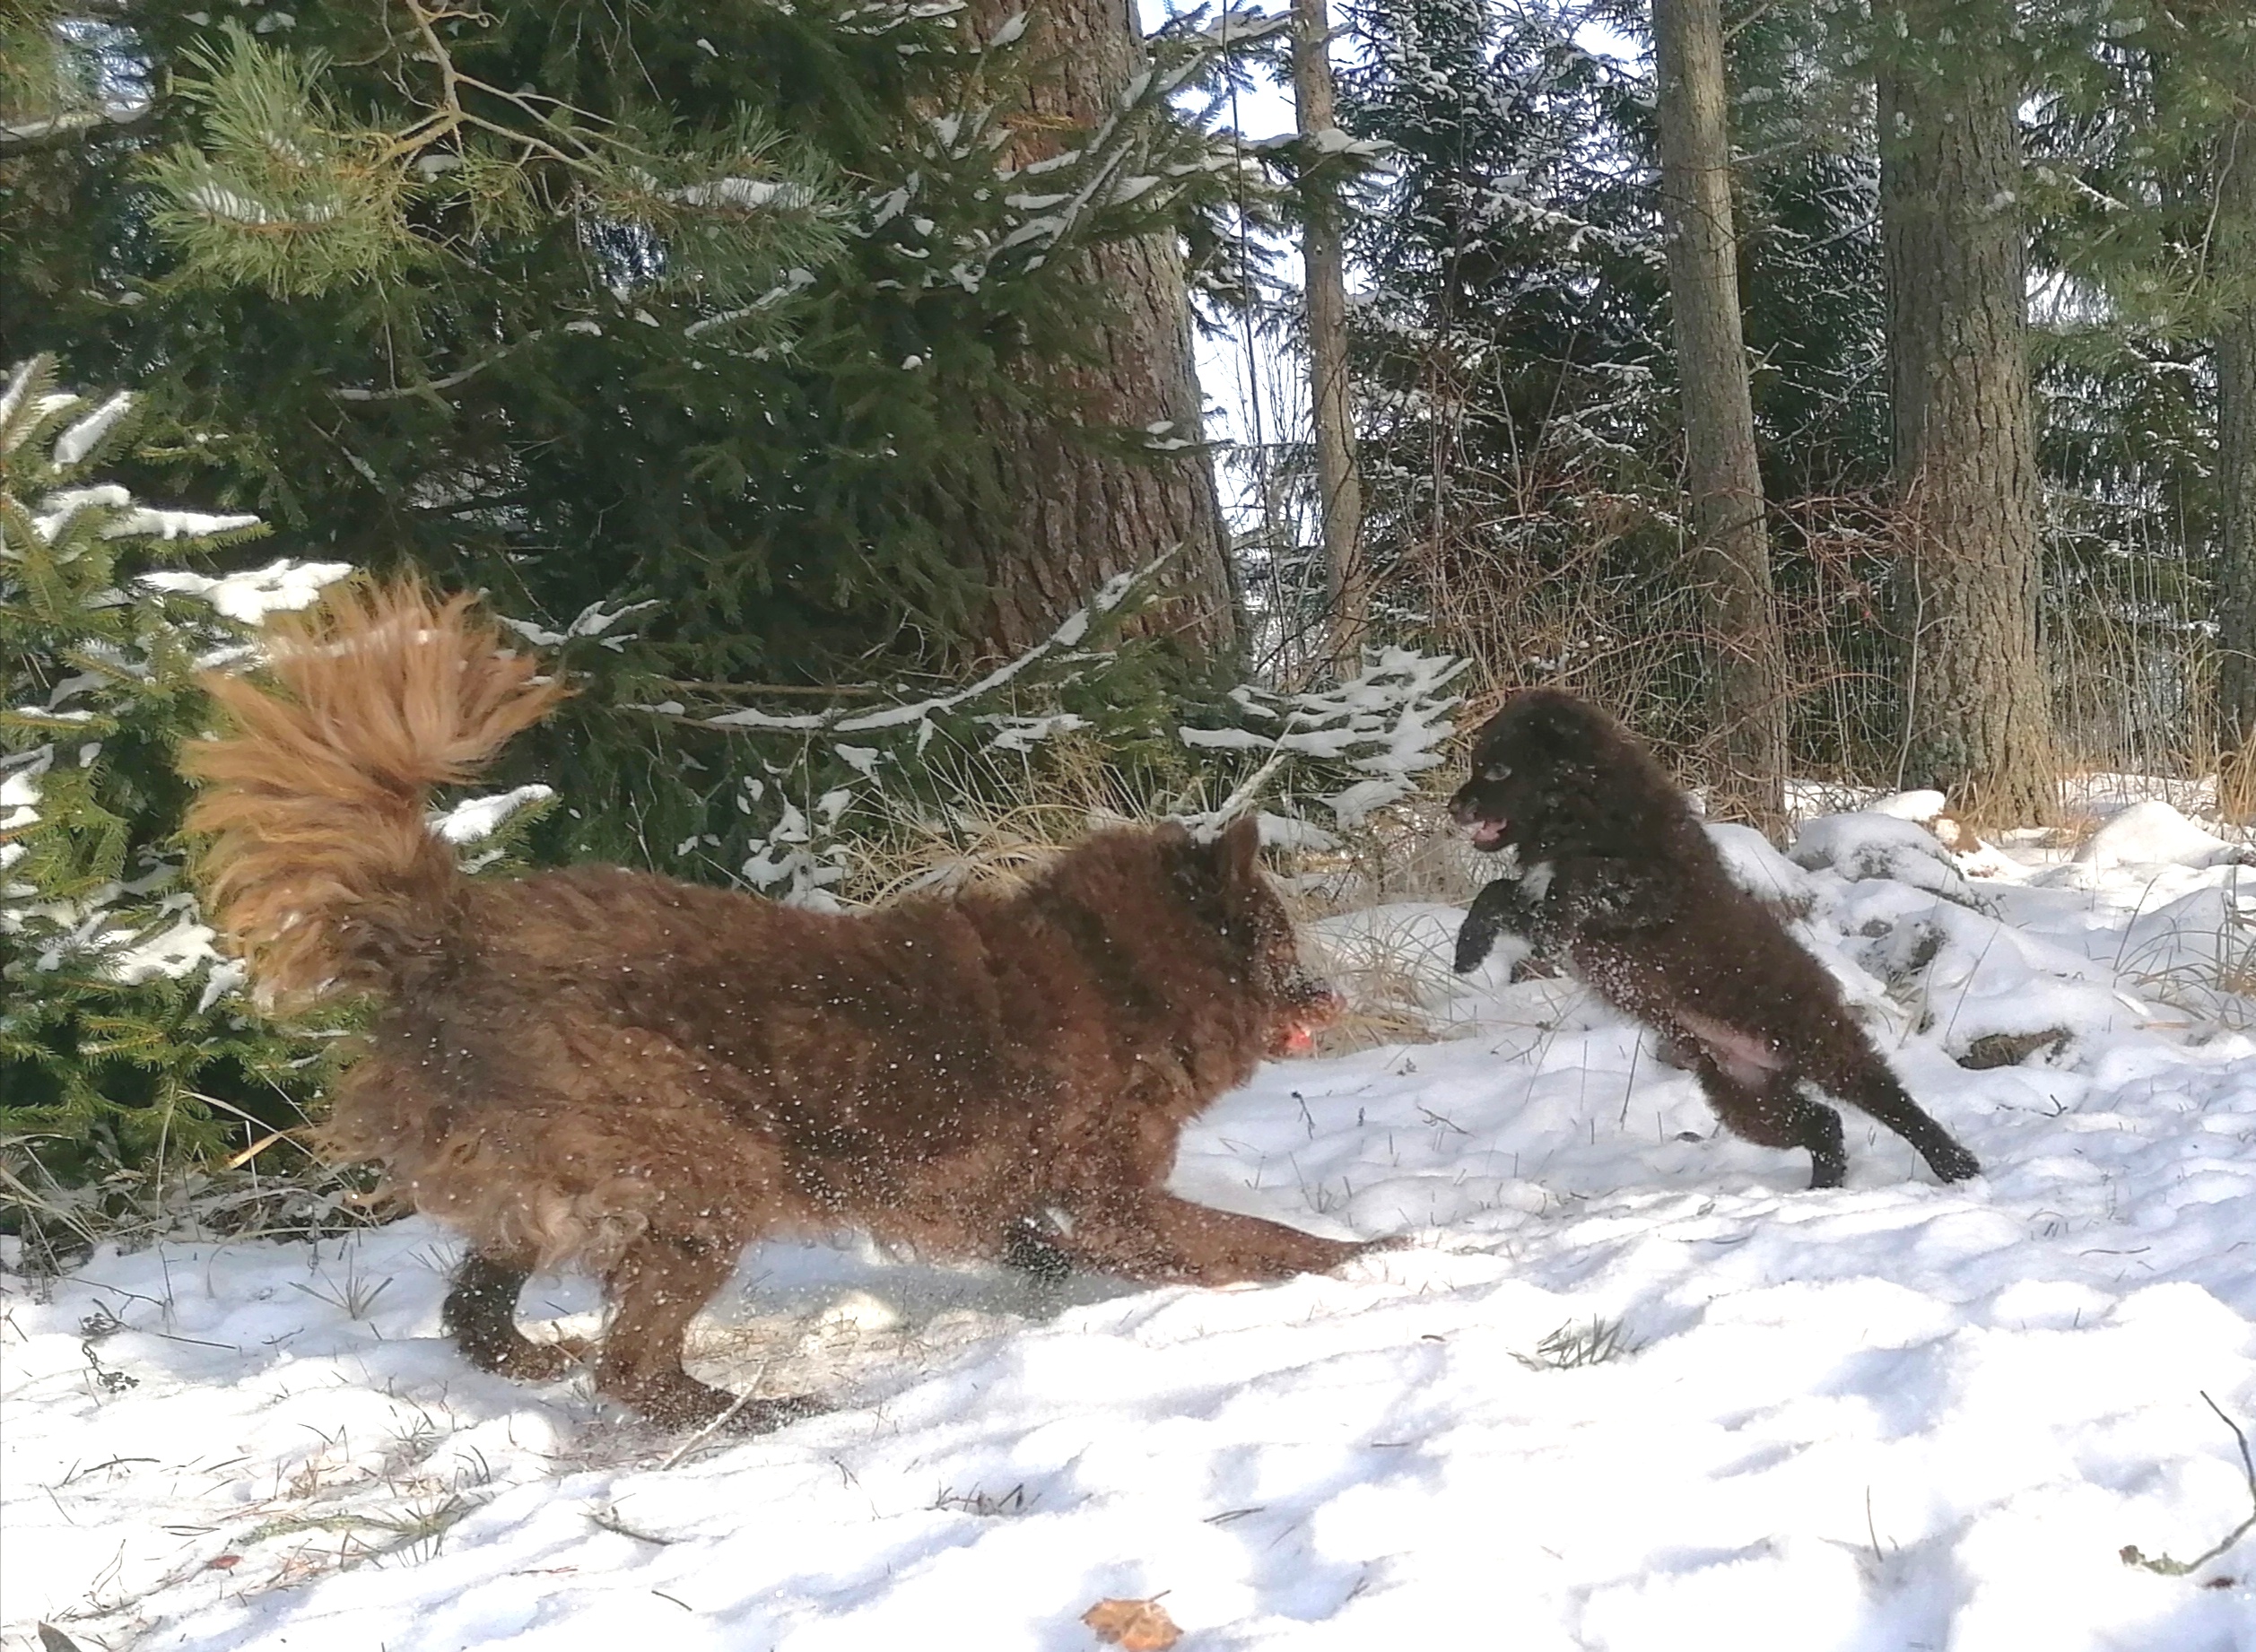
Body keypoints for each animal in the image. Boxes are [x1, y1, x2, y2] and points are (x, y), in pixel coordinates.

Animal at [186, 581, 1364, 1429]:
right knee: (631, 1366)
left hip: (557, 1183)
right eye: (1281, 943)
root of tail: (448, 934)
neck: (1116, 967)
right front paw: (1363, 1265)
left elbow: (1050, 1241)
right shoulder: (1114, 1195)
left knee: (478, 1309)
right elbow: (1251, 1237)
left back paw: (538, 1358)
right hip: (707, 1171)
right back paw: (755, 1414)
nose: (1331, 994)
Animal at [1446, 689, 1981, 1190]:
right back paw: (1823, 1186)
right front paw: (1468, 952)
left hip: (1821, 1048)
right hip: (1746, 1098)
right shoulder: (1543, 909)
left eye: (1499, 769)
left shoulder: (1649, 890)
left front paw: (1499, 938)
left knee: (1895, 1106)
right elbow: (1498, 893)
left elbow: (1569, 883)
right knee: (1823, 1122)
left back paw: (1955, 1164)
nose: (1453, 808)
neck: (1587, 818)